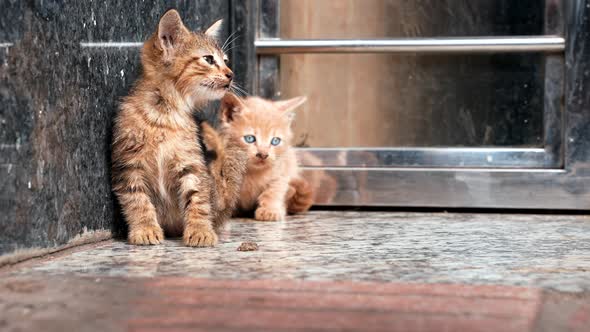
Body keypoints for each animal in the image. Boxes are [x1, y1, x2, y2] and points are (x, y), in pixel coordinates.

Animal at [111, 9, 234, 246]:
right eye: (208, 59)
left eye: (225, 60)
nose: (231, 74)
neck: (165, 114)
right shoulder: (129, 164)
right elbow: (137, 199)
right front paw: (145, 228)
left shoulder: (191, 163)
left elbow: (197, 198)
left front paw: (200, 229)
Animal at [217, 94, 316, 222]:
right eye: (250, 138)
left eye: (275, 141)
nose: (263, 154)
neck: (252, 172)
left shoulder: (281, 172)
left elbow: (273, 191)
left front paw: (269, 210)